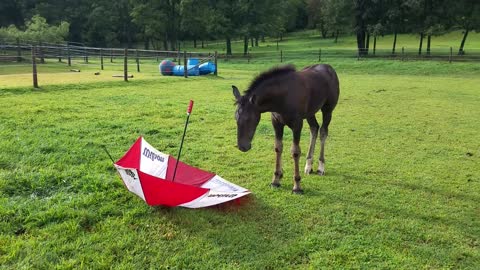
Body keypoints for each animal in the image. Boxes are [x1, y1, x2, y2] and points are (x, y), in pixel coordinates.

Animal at [233, 64, 340, 193]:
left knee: (323, 132)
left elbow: (295, 152)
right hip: (310, 113)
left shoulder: (297, 124)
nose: (242, 147)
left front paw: (297, 186)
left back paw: (320, 167)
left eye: (248, 119)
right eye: (235, 117)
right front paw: (276, 179)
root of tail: (329, 67)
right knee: (314, 128)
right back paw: (308, 166)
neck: (281, 97)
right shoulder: (276, 123)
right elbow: (278, 148)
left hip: (327, 109)